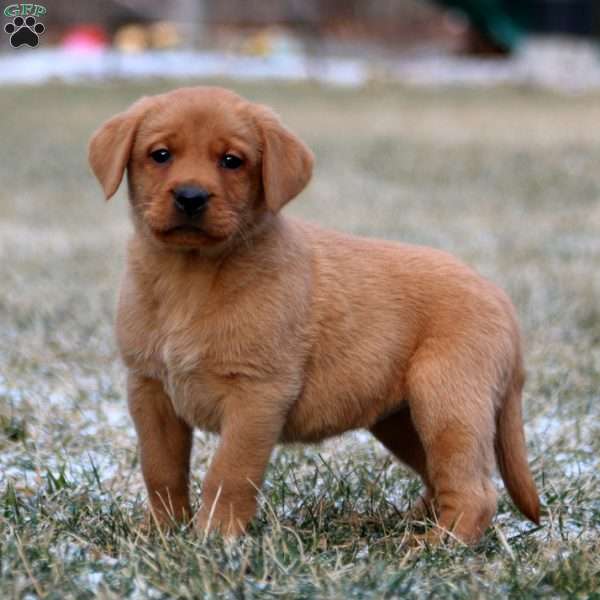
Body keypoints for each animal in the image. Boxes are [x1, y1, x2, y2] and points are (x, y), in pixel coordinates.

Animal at [88, 85, 540, 544]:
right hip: (400, 418)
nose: (190, 197)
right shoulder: (149, 388)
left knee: (474, 491)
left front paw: (216, 539)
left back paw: (433, 546)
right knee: (438, 477)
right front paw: (161, 532)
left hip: (447, 400)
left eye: (232, 160)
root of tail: (501, 298)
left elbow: (228, 473)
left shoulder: (258, 395)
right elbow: (160, 470)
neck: (190, 277)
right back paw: (400, 527)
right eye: (160, 154)